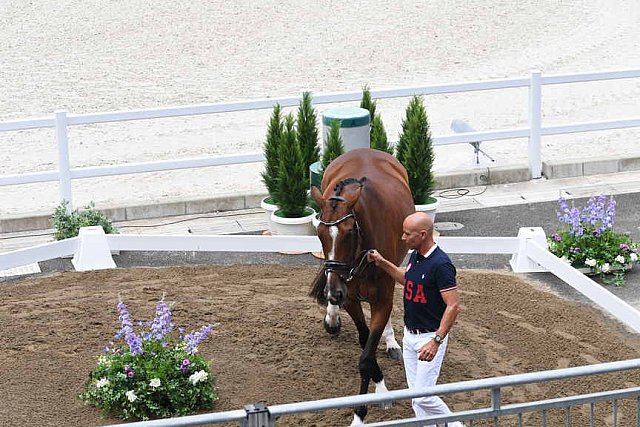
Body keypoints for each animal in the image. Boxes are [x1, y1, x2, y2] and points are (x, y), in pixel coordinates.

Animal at [308, 149, 416, 426]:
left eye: (348, 233)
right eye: (320, 234)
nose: (333, 292)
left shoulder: (382, 299)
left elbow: (367, 355)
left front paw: (365, 409)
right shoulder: (350, 299)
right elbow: (364, 341)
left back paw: (390, 342)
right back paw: (332, 318)